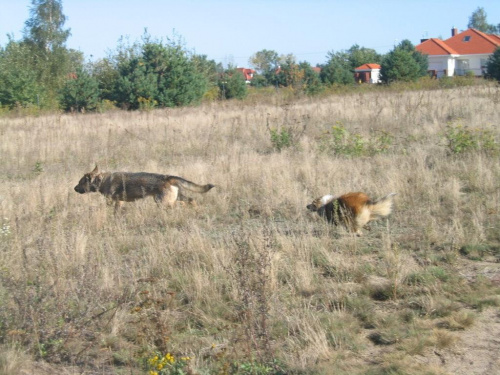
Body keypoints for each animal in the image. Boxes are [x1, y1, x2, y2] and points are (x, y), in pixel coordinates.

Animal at [74, 165, 215, 210]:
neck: (102, 181)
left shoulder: (113, 202)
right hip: (177, 198)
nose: (74, 189)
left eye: (80, 182)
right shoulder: (119, 202)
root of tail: (168, 177)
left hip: (163, 202)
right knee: (191, 200)